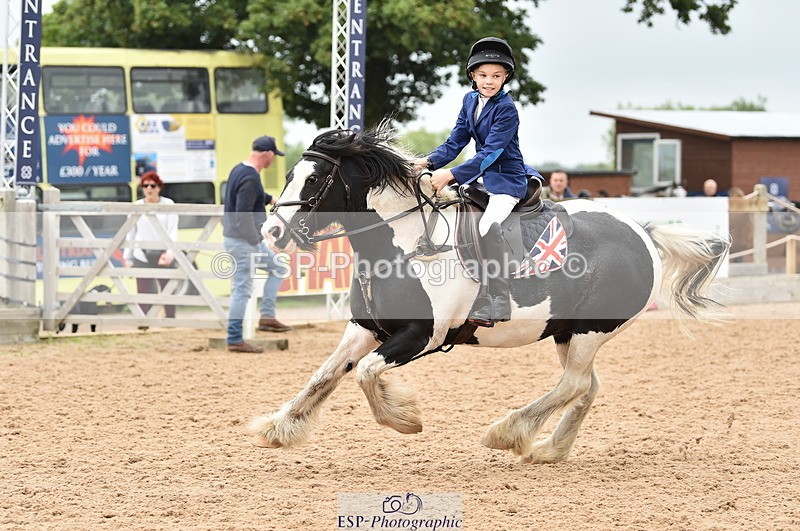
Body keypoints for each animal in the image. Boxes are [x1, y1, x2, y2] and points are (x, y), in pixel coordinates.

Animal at [249, 125, 730, 463]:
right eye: (288, 175)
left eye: (315, 180)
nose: (272, 232)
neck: (405, 243)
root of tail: (643, 232)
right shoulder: (365, 328)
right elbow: (325, 375)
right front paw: (279, 427)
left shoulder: (420, 335)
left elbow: (366, 374)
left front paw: (405, 419)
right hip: (567, 332)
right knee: (586, 386)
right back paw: (549, 449)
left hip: (590, 331)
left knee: (574, 384)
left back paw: (509, 432)